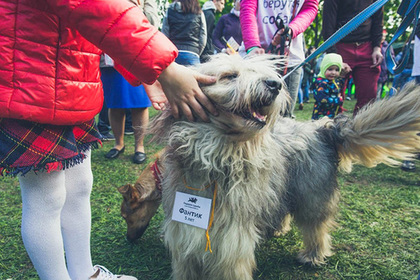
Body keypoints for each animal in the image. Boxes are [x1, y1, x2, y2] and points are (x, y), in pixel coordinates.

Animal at [149, 53, 418, 280]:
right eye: (230, 76)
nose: (275, 85)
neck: (217, 156)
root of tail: (323, 128)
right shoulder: (183, 230)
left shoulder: (231, 239)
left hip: (312, 196)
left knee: (316, 227)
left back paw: (313, 255)